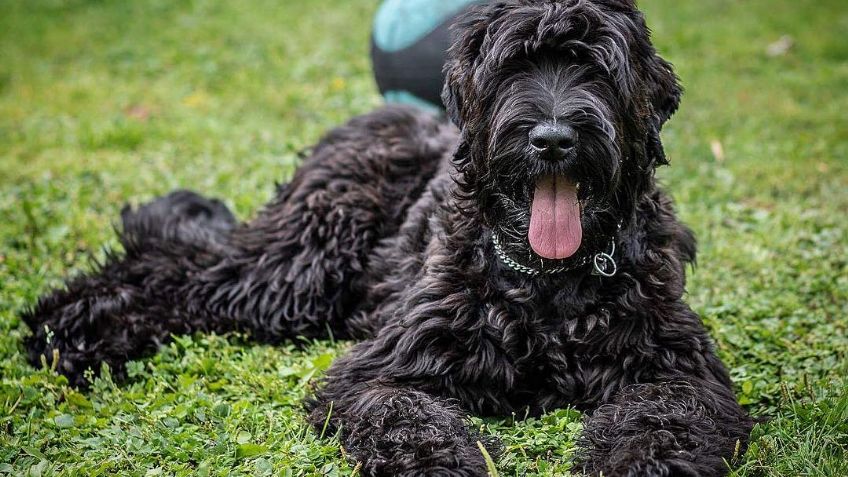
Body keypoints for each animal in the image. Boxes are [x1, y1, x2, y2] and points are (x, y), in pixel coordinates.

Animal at [21, 1, 748, 474]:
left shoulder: (680, 369)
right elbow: (403, 414)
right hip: (301, 262)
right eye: (512, 69)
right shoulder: (383, 366)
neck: (546, 286)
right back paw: (66, 327)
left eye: (597, 69)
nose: (551, 138)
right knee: (180, 267)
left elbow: (662, 416)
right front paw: (438, 463)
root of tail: (381, 116)